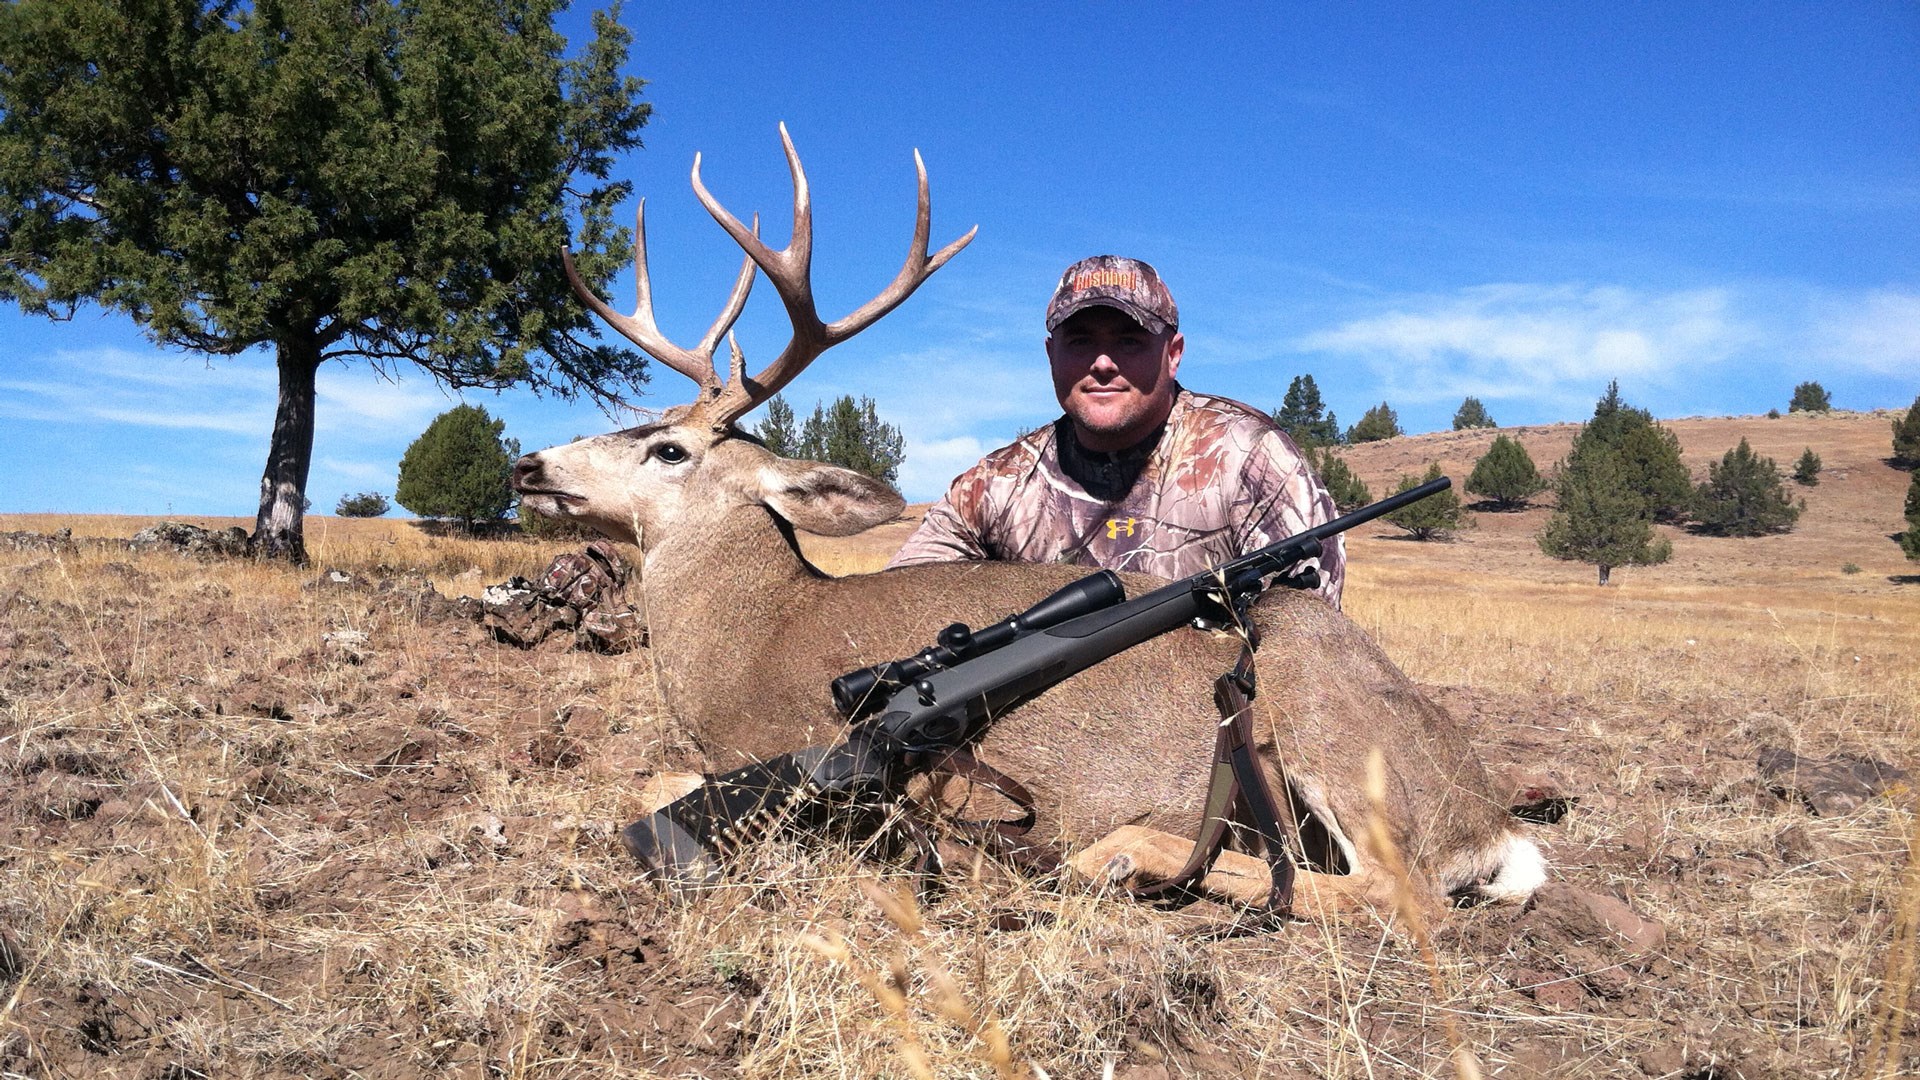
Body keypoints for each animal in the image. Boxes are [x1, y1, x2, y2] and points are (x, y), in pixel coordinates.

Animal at [510, 125, 1543, 914]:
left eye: (669, 449)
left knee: (1397, 893)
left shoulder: (761, 746)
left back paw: (1120, 852)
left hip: (1322, 717)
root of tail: (1488, 820)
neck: (746, 633)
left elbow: (656, 783)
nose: (529, 465)